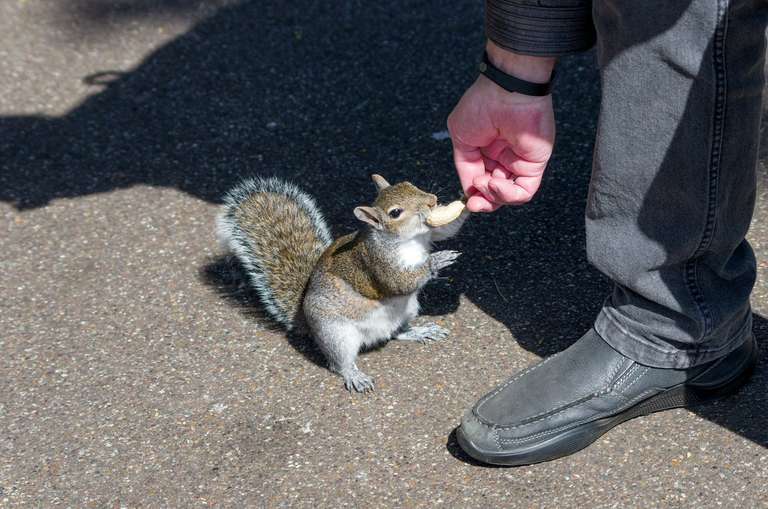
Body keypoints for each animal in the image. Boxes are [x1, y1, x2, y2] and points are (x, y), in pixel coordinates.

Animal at [216, 174, 468, 392]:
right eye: (395, 212)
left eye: (410, 184)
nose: (432, 201)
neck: (408, 240)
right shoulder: (376, 262)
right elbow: (400, 282)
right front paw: (436, 261)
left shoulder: (429, 234)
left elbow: (447, 230)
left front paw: (467, 197)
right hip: (336, 334)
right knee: (339, 363)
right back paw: (354, 375)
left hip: (408, 310)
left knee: (397, 332)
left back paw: (420, 331)